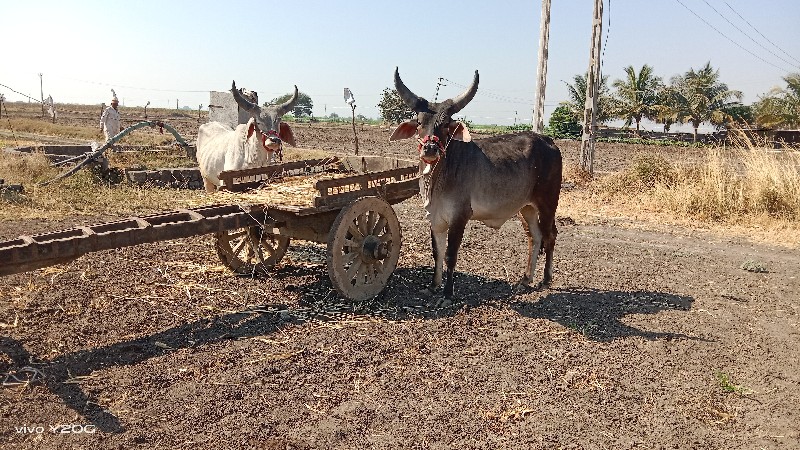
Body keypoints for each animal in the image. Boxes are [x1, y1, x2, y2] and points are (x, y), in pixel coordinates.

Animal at [388, 67, 564, 298]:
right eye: (419, 123)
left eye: (446, 124)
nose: (430, 149)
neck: (437, 180)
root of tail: (549, 141)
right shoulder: (434, 218)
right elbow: (437, 252)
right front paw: (433, 286)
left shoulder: (459, 217)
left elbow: (450, 255)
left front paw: (447, 294)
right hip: (527, 208)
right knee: (534, 237)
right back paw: (525, 279)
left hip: (548, 203)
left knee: (550, 235)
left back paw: (545, 280)